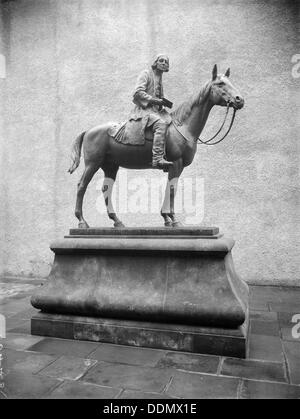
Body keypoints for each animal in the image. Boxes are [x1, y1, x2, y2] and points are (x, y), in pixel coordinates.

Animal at [68, 65, 244, 230]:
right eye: (220, 84)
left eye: (230, 82)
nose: (239, 100)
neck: (183, 126)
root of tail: (88, 131)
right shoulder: (176, 163)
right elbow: (172, 189)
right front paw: (174, 219)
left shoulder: (177, 166)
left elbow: (169, 188)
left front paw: (166, 218)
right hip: (93, 164)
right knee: (81, 186)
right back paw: (82, 221)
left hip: (110, 166)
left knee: (106, 189)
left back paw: (117, 221)